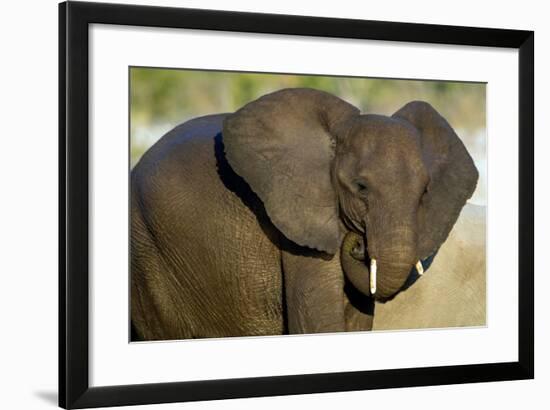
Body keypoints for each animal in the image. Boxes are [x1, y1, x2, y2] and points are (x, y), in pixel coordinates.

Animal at [132, 88, 480, 342]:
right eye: (361, 187)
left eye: (424, 193)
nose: (358, 243)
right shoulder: (295, 226)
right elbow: (317, 321)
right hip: (147, 254)